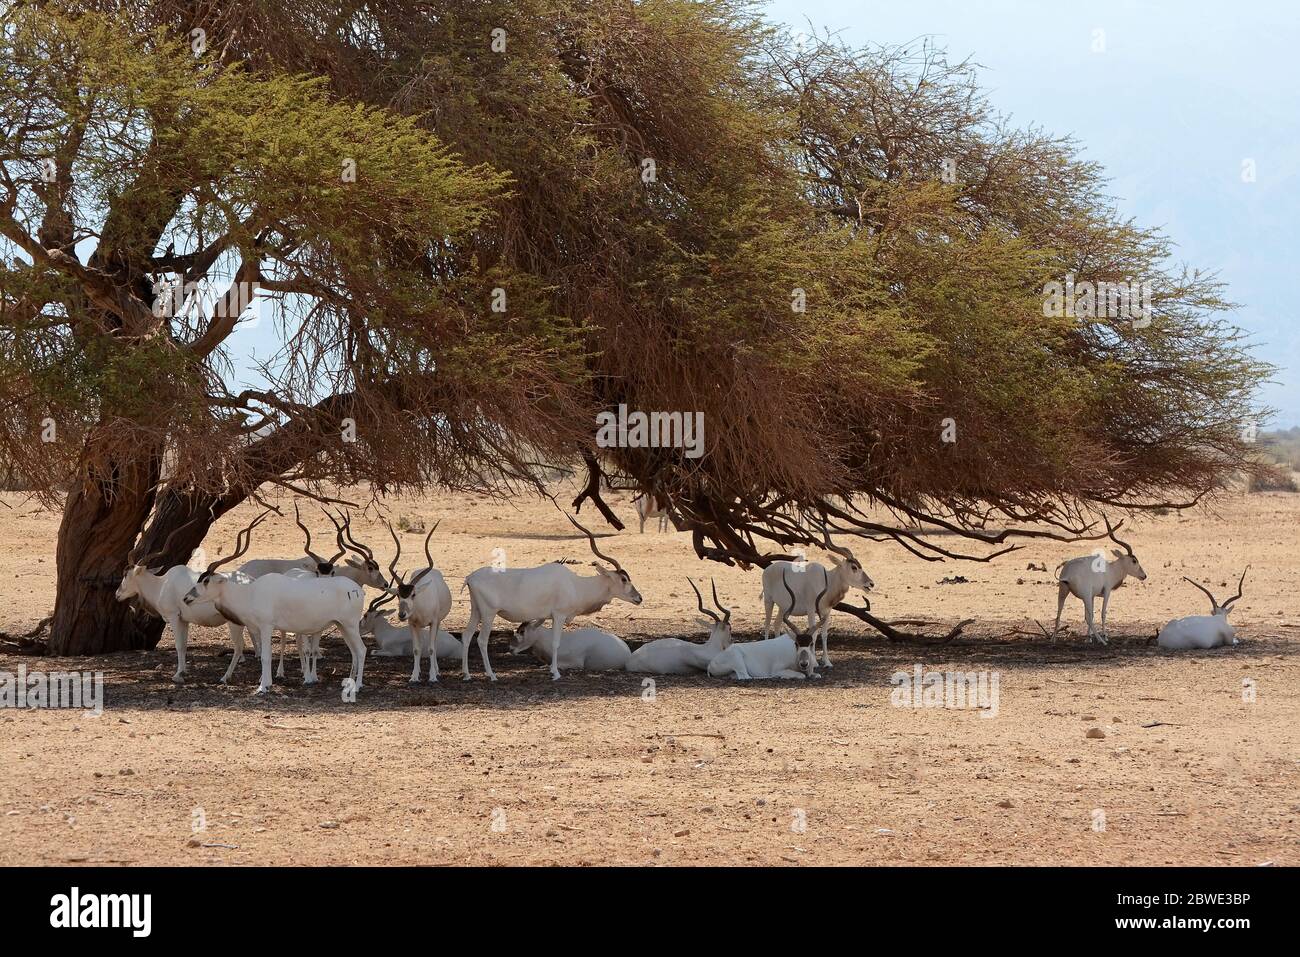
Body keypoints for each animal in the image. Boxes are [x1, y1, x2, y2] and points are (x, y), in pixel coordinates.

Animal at [113, 512, 244, 686]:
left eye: (126, 575)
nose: (117, 594)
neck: (162, 584)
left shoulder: (174, 617)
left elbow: (179, 645)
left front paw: (178, 675)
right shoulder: (185, 620)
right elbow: (185, 644)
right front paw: (184, 671)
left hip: (234, 622)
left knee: (238, 647)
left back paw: (225, 677)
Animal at [180, 512, 369, 691]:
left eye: (206, 580)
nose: (186, 598)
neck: (250, 593)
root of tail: (358, 590)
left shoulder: (266, 626)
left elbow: (266, 656)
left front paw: (263, 686)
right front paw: (267, 682)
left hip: (350, 625)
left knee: (361, 650)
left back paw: (359, 685)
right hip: (341, 625)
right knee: (353, 651)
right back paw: (350, 682)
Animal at [379, 520, 452, 686]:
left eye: (413, 594)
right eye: (398, 595)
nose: (401, 614)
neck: (420, 608)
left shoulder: (433, 622)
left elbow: (431, 648)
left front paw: (432, 677)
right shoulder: (412, 624)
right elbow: (416, 649)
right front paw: (414, 677)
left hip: (438, 622)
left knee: (434, 643)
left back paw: (437, 671)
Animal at [460, 514, 642, 681]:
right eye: (624, 579)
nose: (639, 598)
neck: (575, 584)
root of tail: (470, 577)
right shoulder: (559, 615)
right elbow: (556, 643)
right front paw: (555, 673)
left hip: (476, 610)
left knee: (467, 635)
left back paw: (467, 675)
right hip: (489, 613)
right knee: (482, 640)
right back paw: (492, 675)